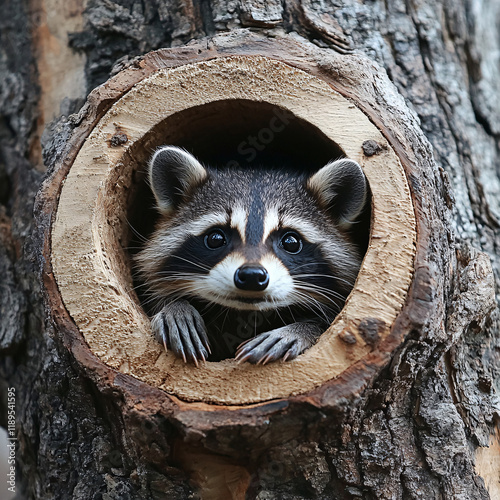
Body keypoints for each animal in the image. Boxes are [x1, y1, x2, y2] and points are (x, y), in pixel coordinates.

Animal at [136, 146, 368, 366]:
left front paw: (298, 330)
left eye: (291, 242)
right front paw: (175, 308)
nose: (252, 276)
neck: (245, 313)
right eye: (215, 238)